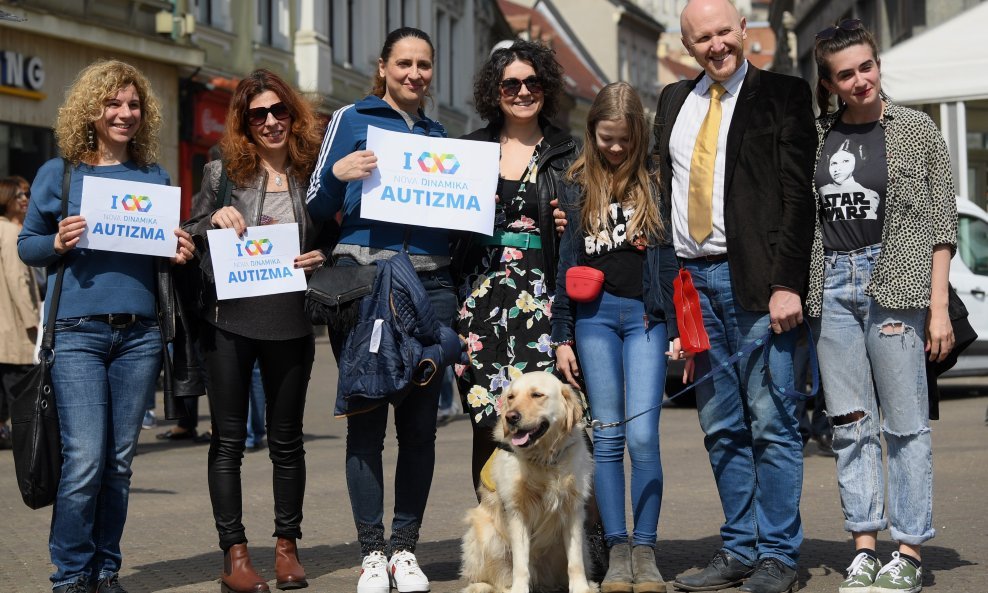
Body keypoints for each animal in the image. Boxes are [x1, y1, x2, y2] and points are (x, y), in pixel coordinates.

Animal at [462, 370, 596, 592]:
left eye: (537, 395)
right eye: (511, 397)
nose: (511, 417)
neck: (543, 459)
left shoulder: (573, 509)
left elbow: (575, 561)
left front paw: (581, 587)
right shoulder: (517, 512)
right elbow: (520, 564)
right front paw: (519, 589)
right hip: (486, 534)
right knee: (493, 578)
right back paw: (481, 586)